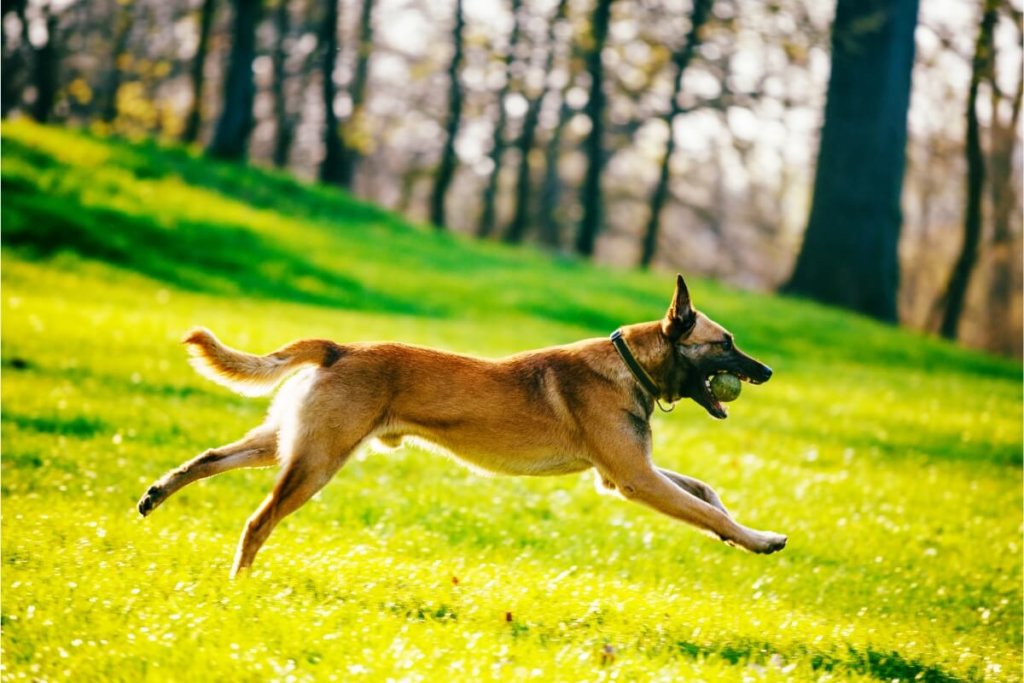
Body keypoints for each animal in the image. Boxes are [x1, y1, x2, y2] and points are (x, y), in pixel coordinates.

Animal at [140, 274, 786, 577]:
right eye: (726, 343)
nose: (768, 371)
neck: (629, 364)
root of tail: (339, 349)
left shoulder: (629, 471)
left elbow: (705, 493)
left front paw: (740, 528)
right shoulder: (634, 477)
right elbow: (703, 510)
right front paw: (758, 538)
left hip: (286, 445)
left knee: (208, 460)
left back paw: (156, 494)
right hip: (316, 461)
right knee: (258, 521)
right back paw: (239, 583)